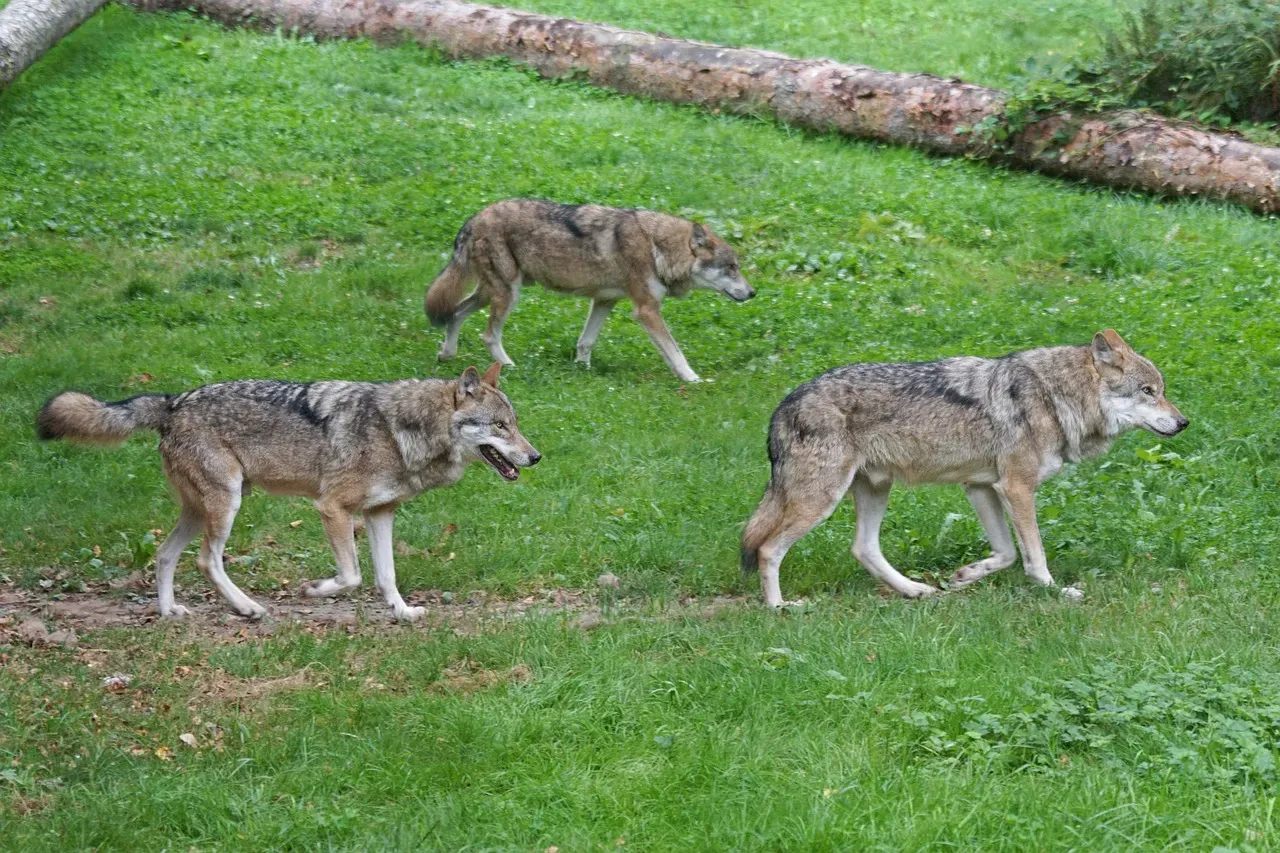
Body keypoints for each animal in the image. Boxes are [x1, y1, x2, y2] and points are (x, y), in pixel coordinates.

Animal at [36, 364, 539, 623]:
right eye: (500, 426)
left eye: (514, 424)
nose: (535, 457)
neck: (401, 432)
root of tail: (173, 401)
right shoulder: (332, 508)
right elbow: (352, 576)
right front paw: (315, 590)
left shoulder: (381, 514)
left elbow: (386, 575)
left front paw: (402, 613)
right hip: (227, 505)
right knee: (206, 561)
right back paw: (247, 608)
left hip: (201, 510)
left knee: (164, 554)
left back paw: (169, 612)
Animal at [424, 199, 755, 382]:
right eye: (731, 267)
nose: (753, 293)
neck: (658, 247)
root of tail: (473, 218)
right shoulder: (646, 310)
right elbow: (676, 352)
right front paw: (692, 378)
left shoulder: (604, 301)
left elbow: (586, 341)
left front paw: (582, 368)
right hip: (508, 295)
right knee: (488, 335)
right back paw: (507, 366)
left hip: (490, 293)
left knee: (454, 313)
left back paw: (446, 354)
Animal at [740, 330, 1188, 606]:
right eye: (1148, 392)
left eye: (1163, 391)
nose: (1183, 422)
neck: (1054, 396)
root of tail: (784, 404)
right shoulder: (1016, 488)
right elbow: (1035, 555)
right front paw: (1055, 591)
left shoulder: (981, 487)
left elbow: (1006, 553)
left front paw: (966, 575)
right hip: (821, 500)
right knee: (768, 549)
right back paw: (779, 607)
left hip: (874, 490)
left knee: (863, 548)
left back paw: (915, 591)